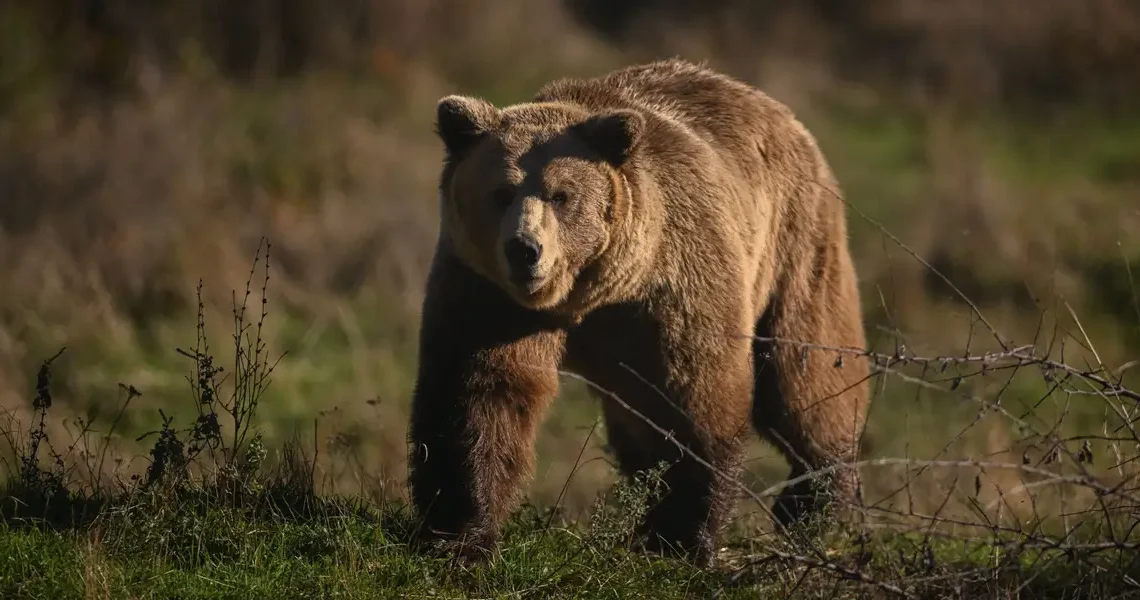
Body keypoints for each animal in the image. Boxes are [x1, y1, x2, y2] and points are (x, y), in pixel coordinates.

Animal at [407, 58, 871, 566]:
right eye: (501, 192)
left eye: (561, 195)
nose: (524, 249)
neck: (588, 294)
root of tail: (780, 112)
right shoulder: (489, 294)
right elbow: (480, 394)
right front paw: (459, 531)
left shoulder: (673, 287)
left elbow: (696, 397)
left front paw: (681, 535)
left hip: (794, 247)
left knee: (806, 376)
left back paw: (815, 503)